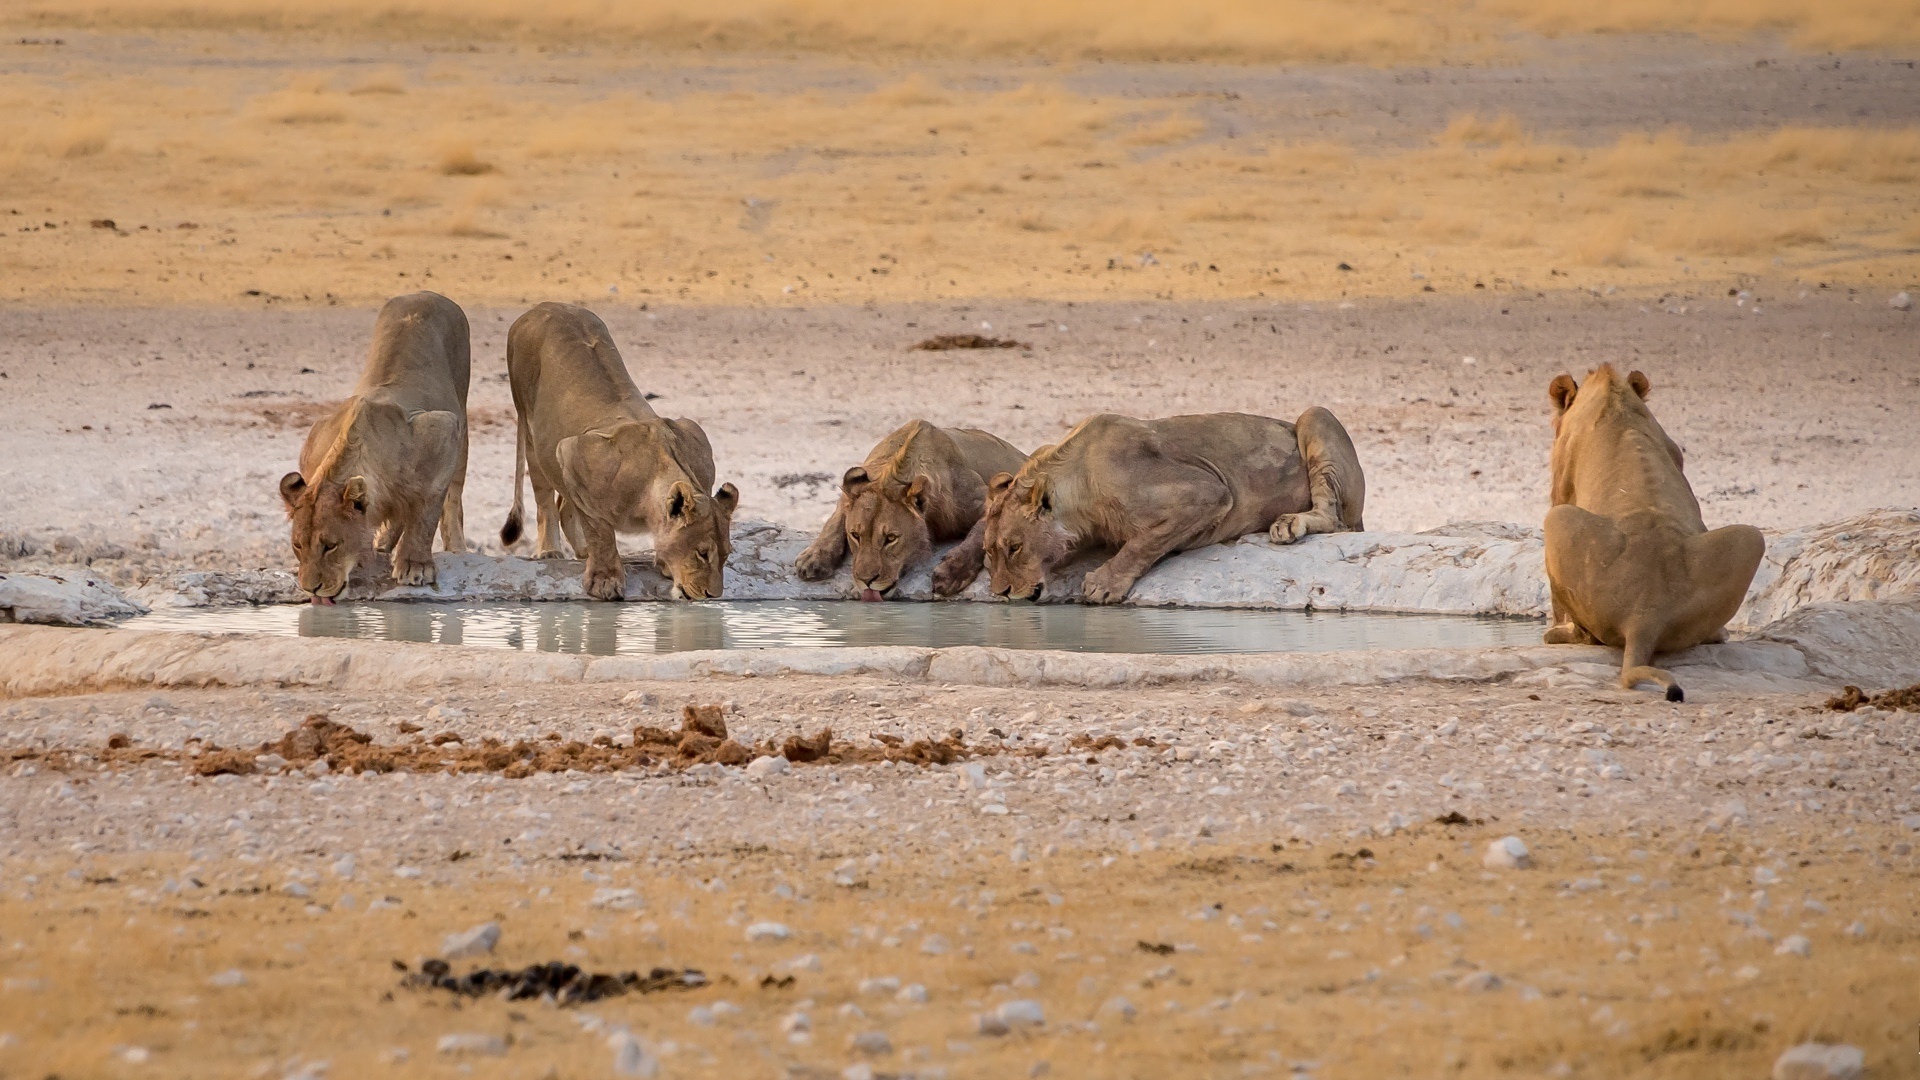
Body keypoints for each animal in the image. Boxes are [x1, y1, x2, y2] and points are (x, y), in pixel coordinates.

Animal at [277, 291, 469, 603]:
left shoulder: (443, 429)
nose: (310, 588)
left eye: (331, 545)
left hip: (462, 416)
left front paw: (415, 565)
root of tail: (425, 293)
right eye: (297, 546)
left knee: (451, 498)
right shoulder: (315, 438)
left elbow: (426, 511)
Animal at [498, 302, 738, 601]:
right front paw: (605, 580)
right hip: (532, 431)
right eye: (702, 553)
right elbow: (600, 531)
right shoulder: (572, 451)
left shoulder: (695, 437)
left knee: (564, 504)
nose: (712, 595)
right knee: (545, 500)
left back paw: (581, 551)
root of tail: (543, 306)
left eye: (726, 555)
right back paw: (550, 551)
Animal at [794, 420, 1027, 600]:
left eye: (891, 538)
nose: (866, 581)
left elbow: (979, 533)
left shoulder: (987, 499)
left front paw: (952, 573)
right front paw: (814, 557)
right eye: (855, 535)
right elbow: (835, 519)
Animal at [935, 408, 1365, 603]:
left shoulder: (1208, 492)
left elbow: (1141, 543)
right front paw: (950, 572)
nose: (1001, 593)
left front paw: (1104, 583)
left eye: (1015, 548)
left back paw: (1289, 524)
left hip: (1314, 416)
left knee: (1335, 520)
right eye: (992, 553)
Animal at [1542, 364, 1764, 702]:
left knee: (1587, 635)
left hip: (1557, 519)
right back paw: (1720, 633)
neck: (1612, 393)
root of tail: (1644, 615)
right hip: (1751, 537)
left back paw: (1556, 633)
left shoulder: (1560, 482)